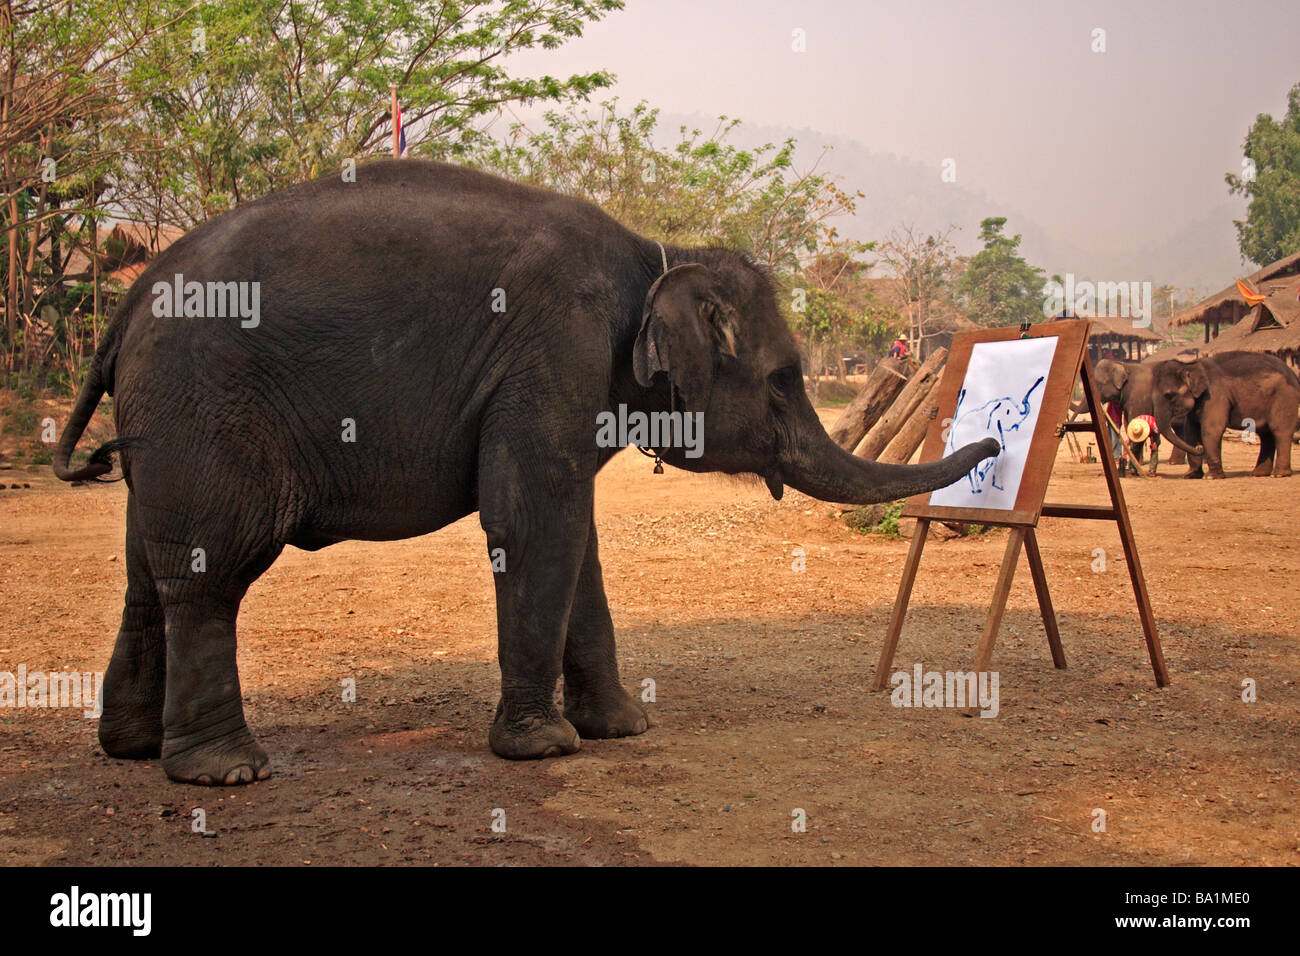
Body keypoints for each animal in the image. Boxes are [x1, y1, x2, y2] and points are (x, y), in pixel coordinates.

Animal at [52, 160, 997, 785]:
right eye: (781, 381)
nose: (992, 448)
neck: (657, 253)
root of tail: (127, 304)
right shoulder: (553, 348)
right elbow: (535, 522)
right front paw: (548, 749)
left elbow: (577, 540)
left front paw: (624, 729)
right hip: (208, 404)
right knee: (212, 567)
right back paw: (226, 771)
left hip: (167, 424)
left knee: (149, 569)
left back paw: (136, 750)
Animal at [1150, 350, 1300, 479]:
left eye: (1168, 395)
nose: (1199, 448)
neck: (1190, 365)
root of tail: (1294, 376)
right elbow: (1191, 430)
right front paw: (1190, 475)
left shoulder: (1215, 395)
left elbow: (1211, 429)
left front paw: (1211, 477)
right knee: (1266, 435)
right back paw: (1258, 474)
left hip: (1285, 398)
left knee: (1280, 431)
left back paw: (1279, 474)